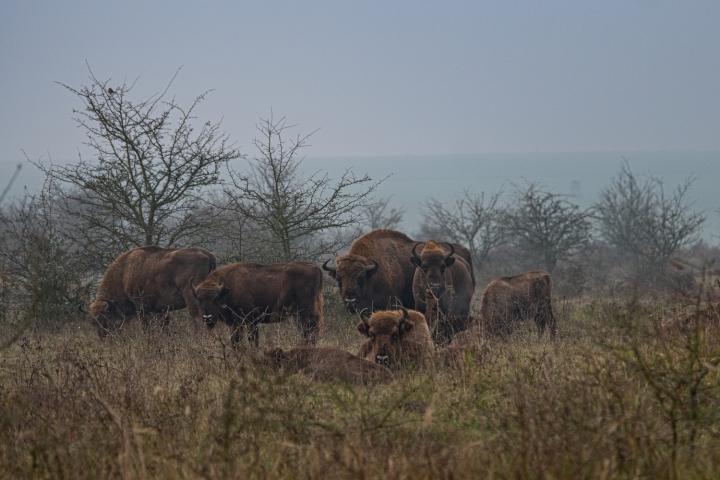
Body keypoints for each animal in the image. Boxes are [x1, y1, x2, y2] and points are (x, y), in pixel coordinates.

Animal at [193, 261, 323, 347]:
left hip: (305, 314)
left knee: (310, 332)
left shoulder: (250, 322)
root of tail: (315, 268)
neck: (227, 289)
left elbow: (251, 341)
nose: (207, 318)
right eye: (199, 299)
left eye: (215, 299)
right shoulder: (236, 324)